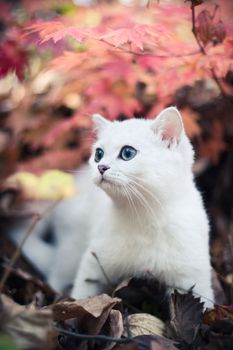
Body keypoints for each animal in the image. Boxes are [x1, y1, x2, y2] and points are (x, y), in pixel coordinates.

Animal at [71, 107, 215, 308]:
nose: (101, 167)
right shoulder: (92, 264)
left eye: (127, 153)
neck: (142, 215)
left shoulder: (192, 278)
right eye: (98, 154)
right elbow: (80, 295)